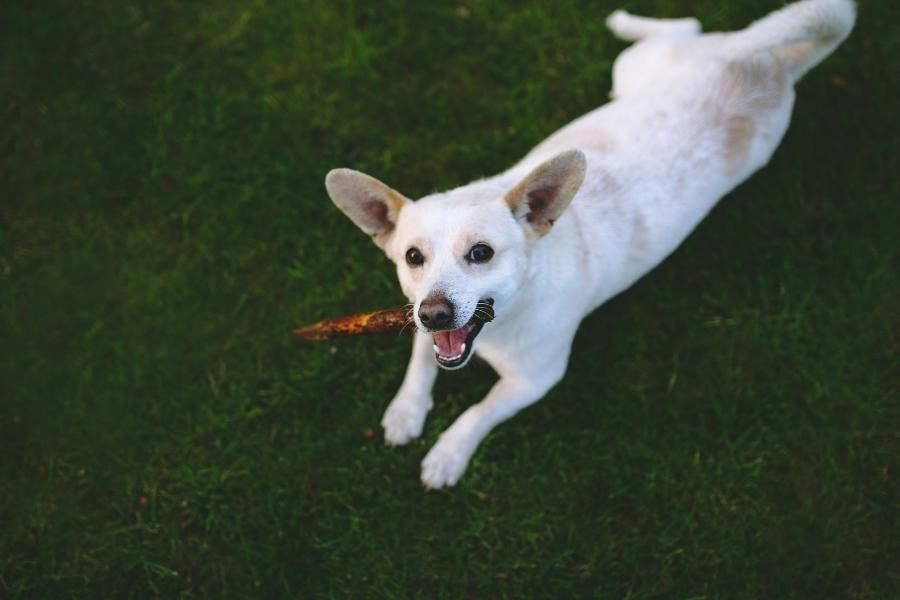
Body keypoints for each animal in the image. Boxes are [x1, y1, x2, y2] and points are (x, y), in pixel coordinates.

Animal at [326, 0, 856, 488]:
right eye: (412, 257)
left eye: (481, 253)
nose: (435, 313)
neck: (505, 321)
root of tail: (769, 62)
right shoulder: (419, 317)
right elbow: (420, 360)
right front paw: (406, 411)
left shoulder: (535, 381)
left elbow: (479, 411)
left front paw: (448, 453)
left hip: (650, 68)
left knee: (685, 24)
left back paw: (623, 21)